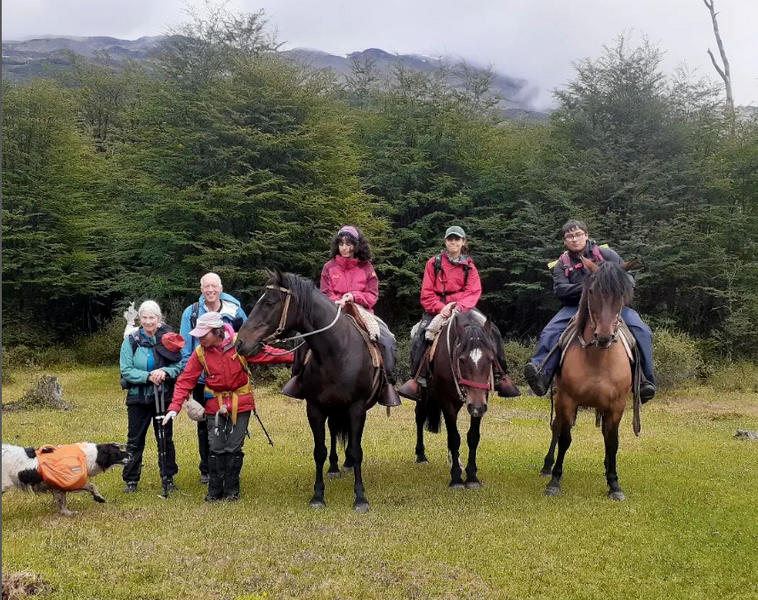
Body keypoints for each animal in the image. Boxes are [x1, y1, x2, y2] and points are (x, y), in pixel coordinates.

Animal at [1, 440, 129, 516]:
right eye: (117, 453)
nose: (130, 454)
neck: (86, 456)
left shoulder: (58, 486)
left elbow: (62, 501)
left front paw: (66, 512)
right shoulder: (71, 481)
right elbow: (91, 486)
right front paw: (99, 497)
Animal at [236, 272, 380, 510]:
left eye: (269, 303)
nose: (240, 343)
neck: (336, 352)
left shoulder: (357, 408)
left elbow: (356, 450)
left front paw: (360, 497)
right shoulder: (315, 408)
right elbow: (319, 451)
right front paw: (318, 496)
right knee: (333, 433)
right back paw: (334, 468)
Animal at [418, 312, 502, 490]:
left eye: (490, 358)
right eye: (462, 360)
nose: (476, 407)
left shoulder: (480, 401)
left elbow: (473, 437)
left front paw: (471, 477)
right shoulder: (446, 401)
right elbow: (454, 438)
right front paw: (456, 478)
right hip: (423, 394)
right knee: (419, 418)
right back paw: (421, 456)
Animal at [544, 258, 640, 502]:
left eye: (622, 294)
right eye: (591, 291)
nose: (604, 337)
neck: (599, 360)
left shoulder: (617, 405)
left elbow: (612, 442)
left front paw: (614, 484)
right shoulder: (568, 400)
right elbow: (565, 438)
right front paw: (555, 481)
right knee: (556, 428)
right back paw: (547, 466)